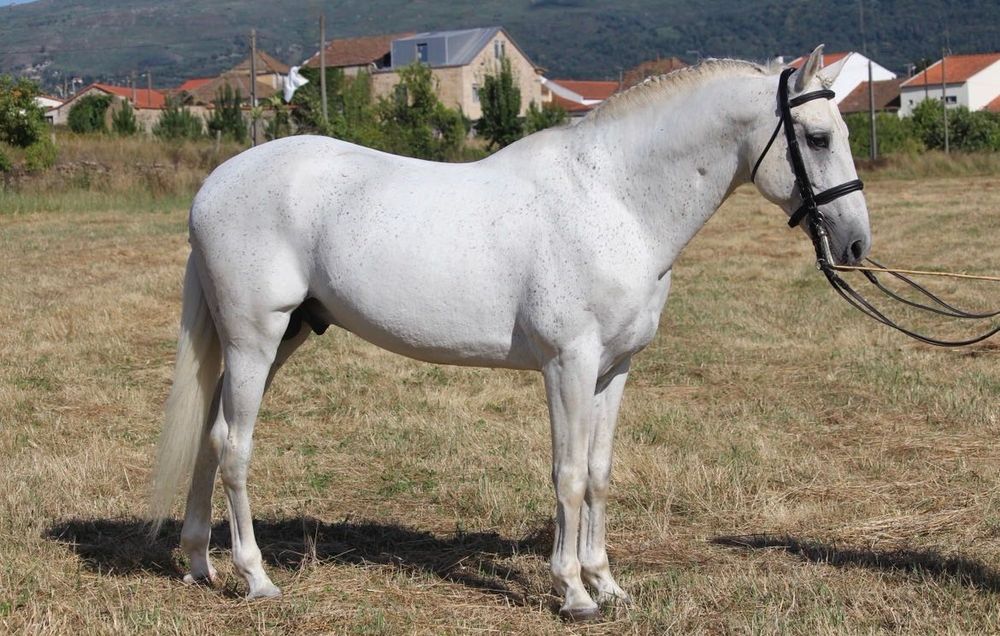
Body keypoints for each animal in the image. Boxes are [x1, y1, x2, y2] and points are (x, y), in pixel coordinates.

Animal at [151, 46, 871, 620]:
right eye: (816, 137)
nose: (856, 243)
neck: (613, 200)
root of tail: (212, 187)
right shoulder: (568, 365)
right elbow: (568, 474)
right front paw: (573, 593)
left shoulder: (614, 369)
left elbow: (600, 472)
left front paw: (607, 584)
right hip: (255, 339)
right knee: (234, 445)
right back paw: (255, 578)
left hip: (281, 338)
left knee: (212, 434)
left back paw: (200, 564)